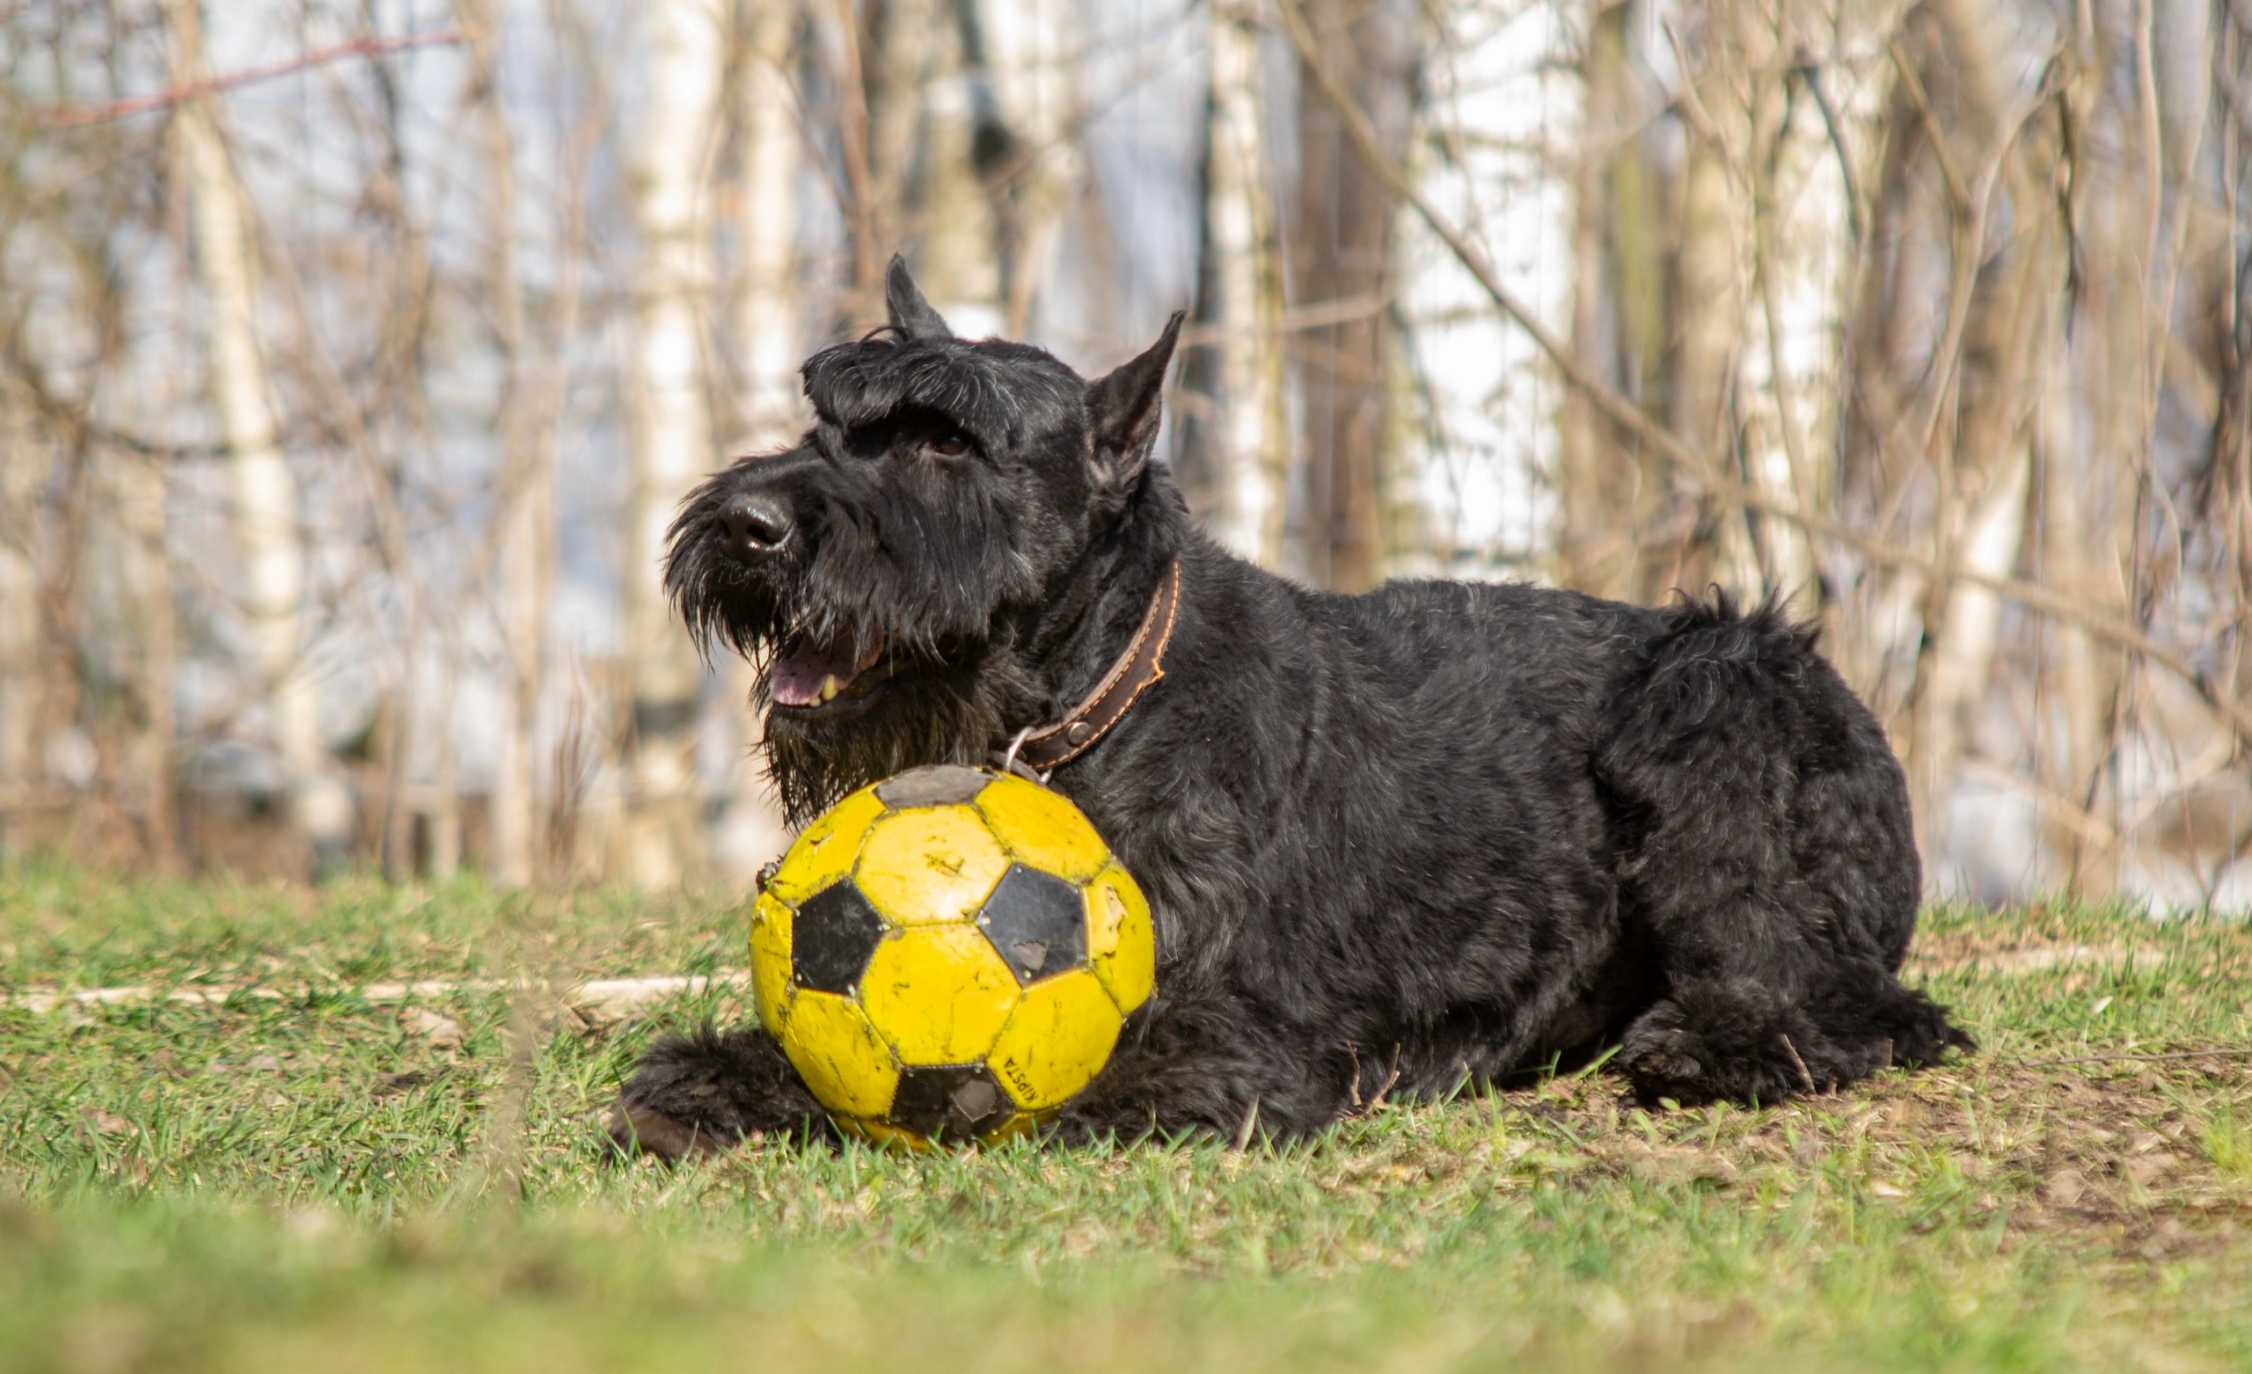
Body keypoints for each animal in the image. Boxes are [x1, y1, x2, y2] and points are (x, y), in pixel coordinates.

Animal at [608, 257, 1969, 1160]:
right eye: (824, 416)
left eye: (946, 440)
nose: (748, 526)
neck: (1095, 701)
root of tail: (1868, 740)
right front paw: (714, 1077)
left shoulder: (1233, 1042)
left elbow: (1044, 1090)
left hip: (1711, 696)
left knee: (1854, 999)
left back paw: (1718, 1044)